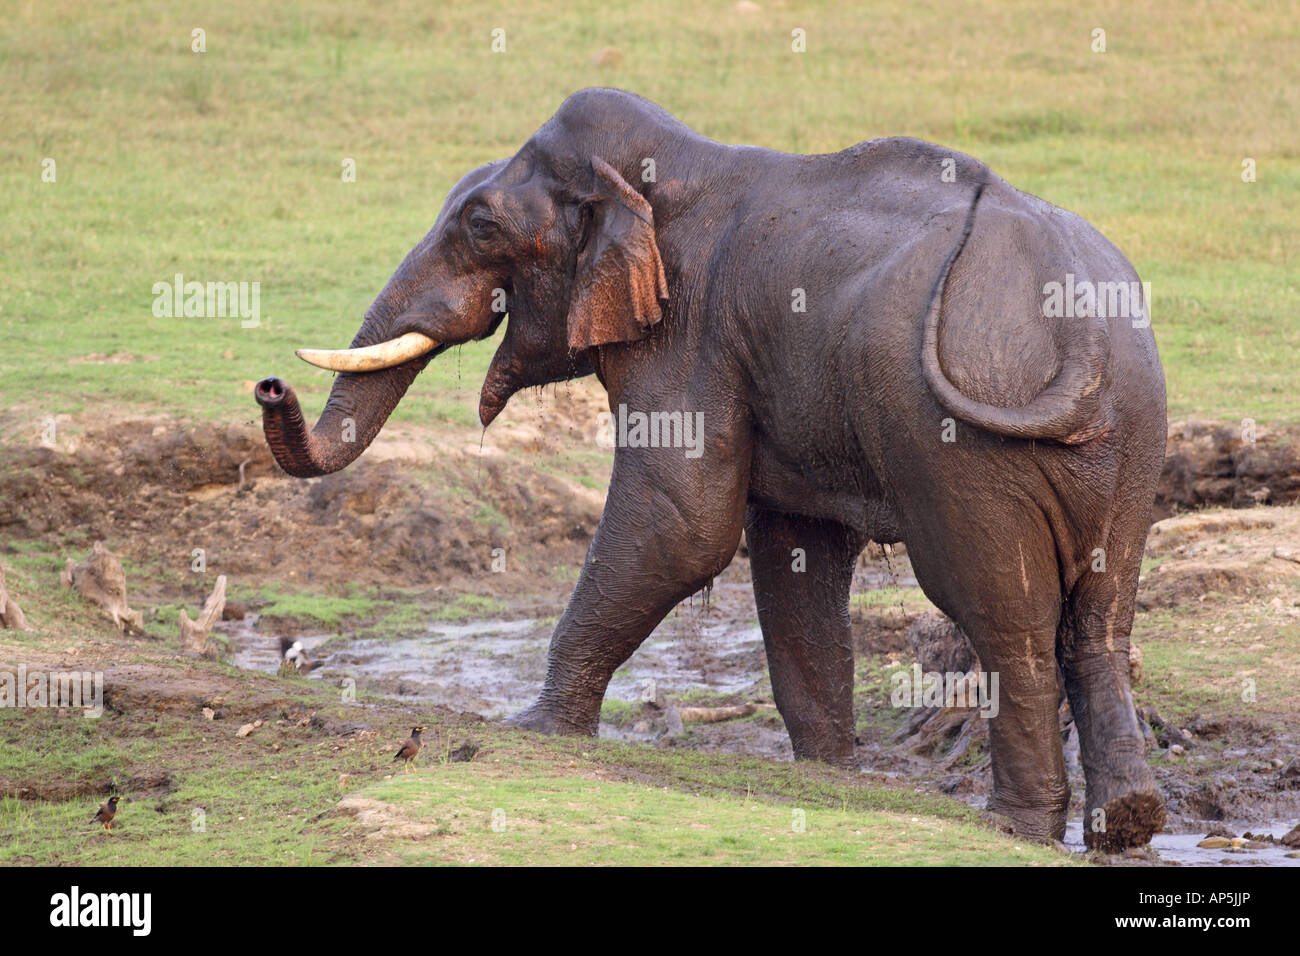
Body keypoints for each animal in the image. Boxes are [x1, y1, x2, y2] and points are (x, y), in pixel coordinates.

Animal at [254, 88, 1167, 850]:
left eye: (481, 226)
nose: (268, 384)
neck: (672, 162)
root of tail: (1081, 335)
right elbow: (795, 552)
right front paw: (828, 775)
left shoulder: (691, 330)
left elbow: (681, 526)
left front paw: (531, 729)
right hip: (1131, 443)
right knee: (1101, 615)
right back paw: (1127, 821)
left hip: (963, 446)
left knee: (1002, 614)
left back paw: (1019, 827)